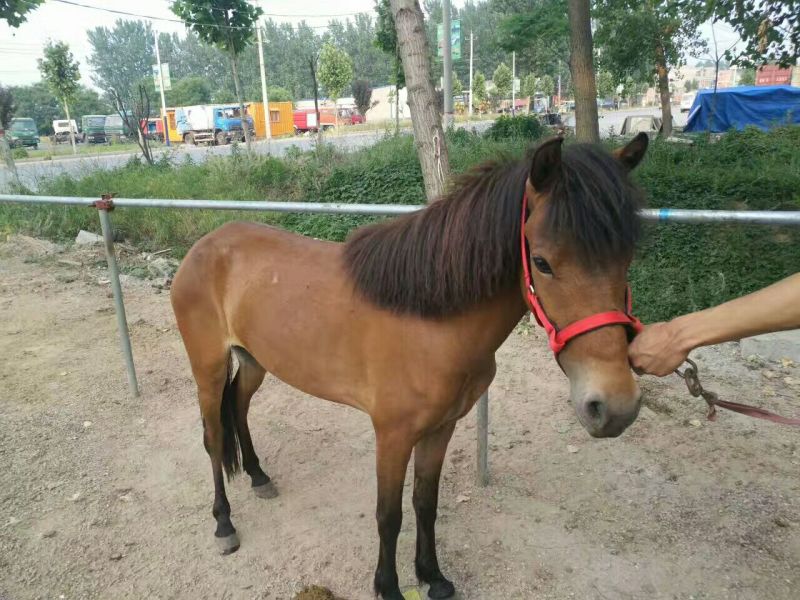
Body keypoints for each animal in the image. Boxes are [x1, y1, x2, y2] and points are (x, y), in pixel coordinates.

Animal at [170, 133, 650, 600]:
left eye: (626, 258)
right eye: (542, 262)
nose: (614, 405)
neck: (431, 320)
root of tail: (204, 246)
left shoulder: (441, 428)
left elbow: (425, 502)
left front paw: (432, 576)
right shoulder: (393, 434)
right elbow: (389, 514)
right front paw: (389, 587)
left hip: (254, 361)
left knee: (239, 408)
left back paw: (257, 476)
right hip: (208, 368)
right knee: (213, 437)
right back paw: (224, 524)